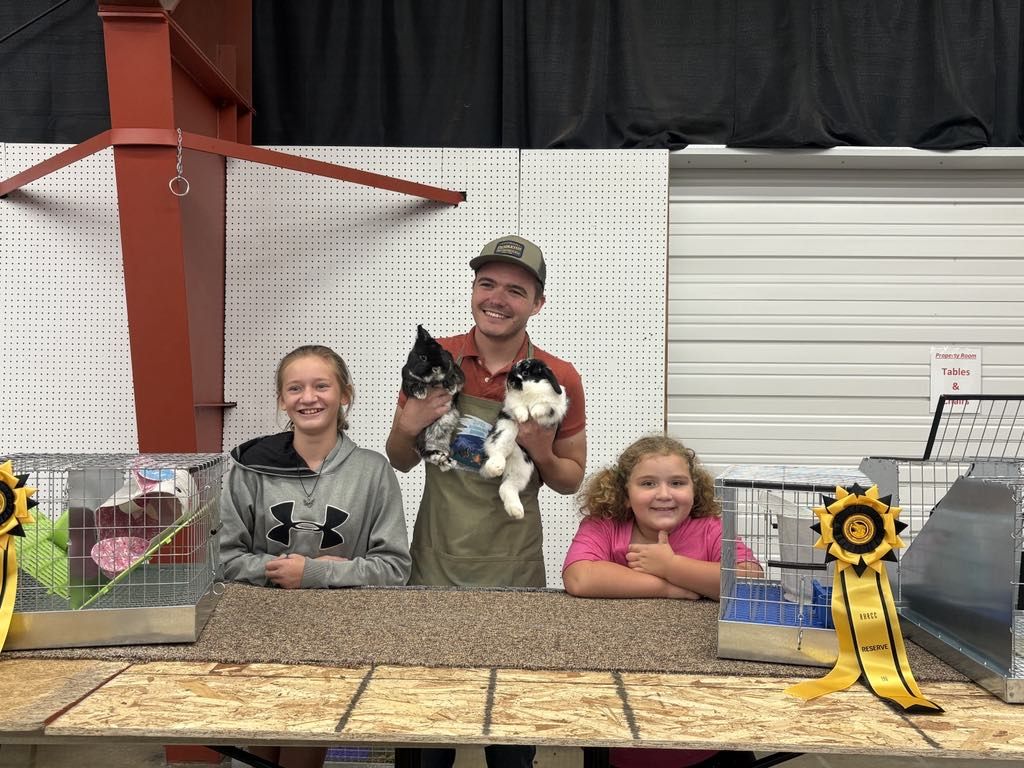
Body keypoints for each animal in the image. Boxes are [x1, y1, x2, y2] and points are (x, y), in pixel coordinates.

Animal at [401, 325, 465, 471]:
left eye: (441, 352)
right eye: (423, 357)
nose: (437, 367)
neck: (433, 382)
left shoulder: (458, 374)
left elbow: (454, 376)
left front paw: (451, 386)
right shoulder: (407, 378)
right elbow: (412, 384)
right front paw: (420, 392)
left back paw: (446, 461)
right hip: (422, 438)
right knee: (425, 453)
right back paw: (440, 457)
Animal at [479, 358, 568, 519]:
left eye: (526, 372)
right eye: (512, 369)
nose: (509, 381)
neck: (529, 393)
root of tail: (511, 457)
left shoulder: (555, 407)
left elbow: (544, 406)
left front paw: (534, 412)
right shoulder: (511, 403)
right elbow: (518, 406)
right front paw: (523, 416)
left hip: (522, 468)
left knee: (506, 487)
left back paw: (516, 511)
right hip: (504, 433)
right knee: (496, 453)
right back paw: (495, 468)